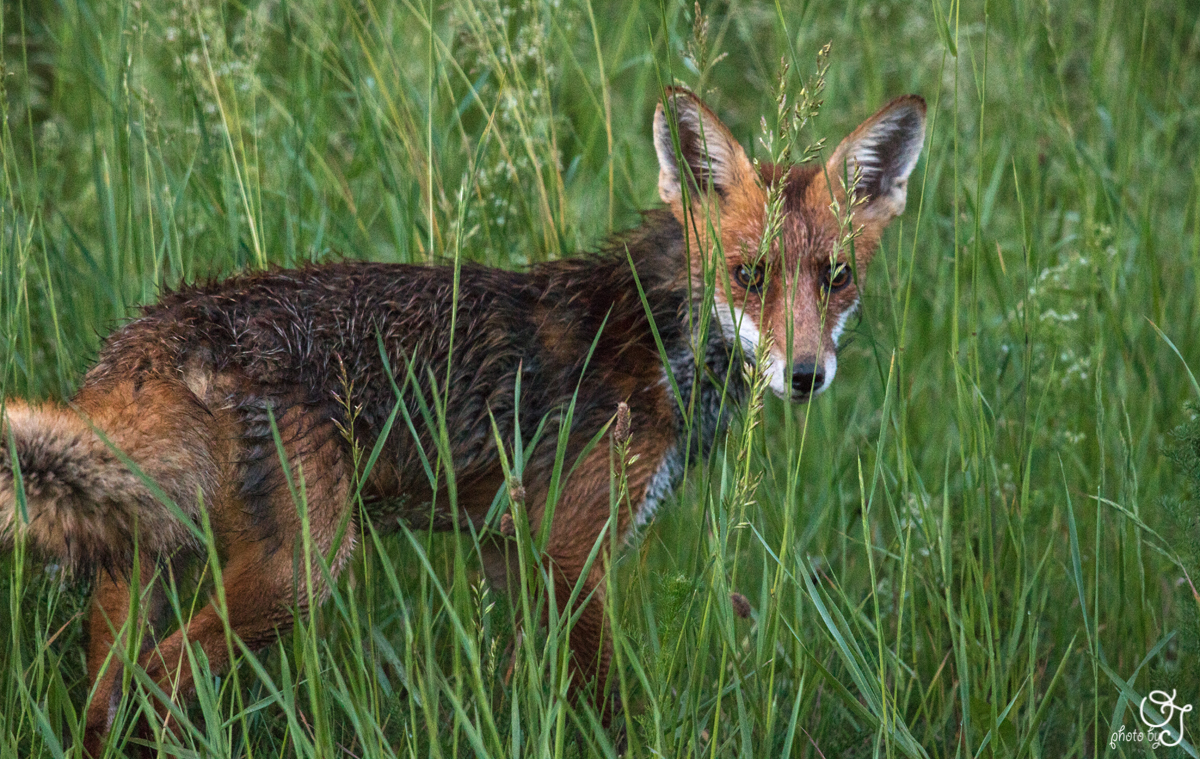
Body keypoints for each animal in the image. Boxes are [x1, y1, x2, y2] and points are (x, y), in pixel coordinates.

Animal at [0, 88, 926, 754]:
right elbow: (612, 709)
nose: (804, 375)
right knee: (152, 687)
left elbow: (523, 689)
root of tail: (154, 330)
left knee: (101, 701)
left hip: (143, 563)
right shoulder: (571, 552)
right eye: (749, 275)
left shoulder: (510, 553)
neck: (656, 336)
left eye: (836, 277)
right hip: (300, 572)